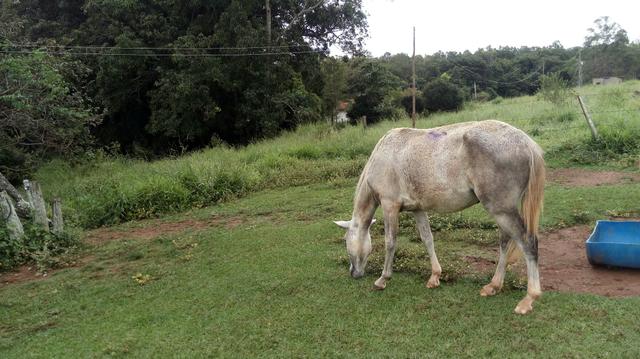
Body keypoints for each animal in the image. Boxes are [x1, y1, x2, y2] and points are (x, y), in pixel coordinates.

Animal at [336, 121, 544, 316]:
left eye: (346, 241)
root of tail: (526, 143)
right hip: (503, 212)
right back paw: (493, 286)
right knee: (505, 242)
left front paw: (383, 279)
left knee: (528, 243)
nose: (353, 273)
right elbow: (427, 239)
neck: (383, 154)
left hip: (501, 210)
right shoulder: (418, 209)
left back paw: (529, 298)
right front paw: (435, 276)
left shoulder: (389, 206)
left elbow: (390, 242)